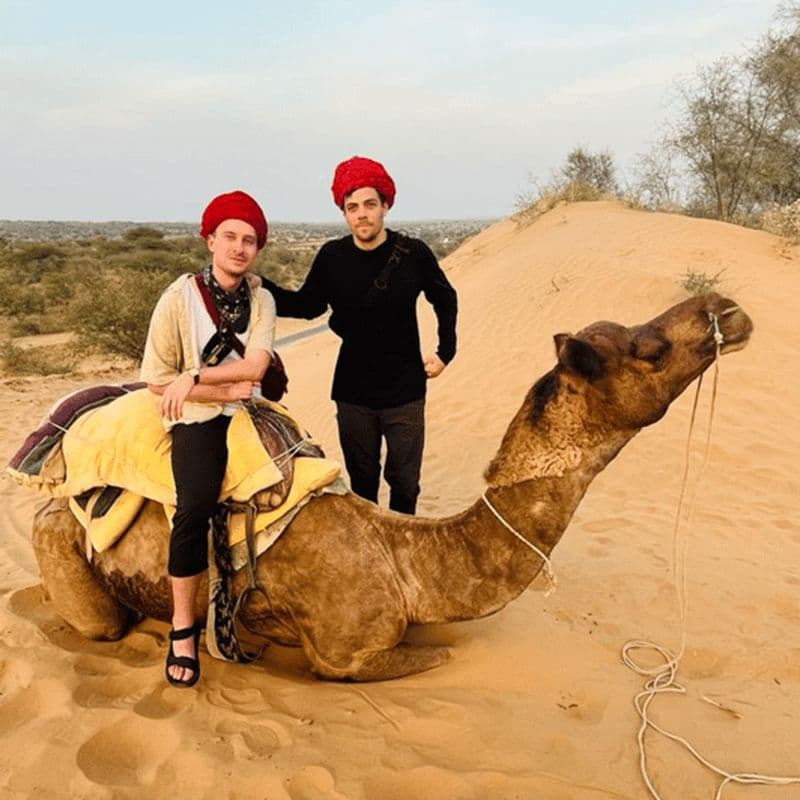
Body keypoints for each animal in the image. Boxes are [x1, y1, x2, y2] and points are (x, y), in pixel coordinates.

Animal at [30, 293, 752, 681]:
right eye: (651, 349)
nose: (727, 308)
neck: (408, 561)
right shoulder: (347, 655)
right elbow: (437, 658)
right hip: (62, 548)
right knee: (95, 620)